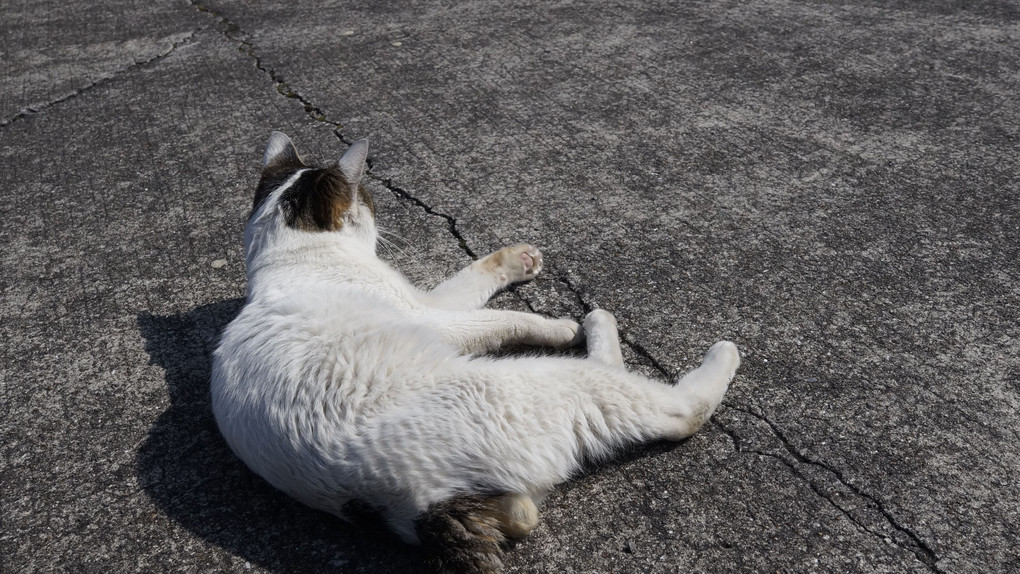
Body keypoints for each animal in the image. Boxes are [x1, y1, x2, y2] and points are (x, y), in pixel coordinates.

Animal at [213, 131, 742, 574]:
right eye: (368, 199)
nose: (380, 220)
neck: (290, 256)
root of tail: (421, 510)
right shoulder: (433, 319)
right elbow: (503, 318)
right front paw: (556, 324)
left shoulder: (434, 303)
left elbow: (473, 275)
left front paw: (517, 259)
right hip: (548, 383)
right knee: (675, 409)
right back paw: (629, 332)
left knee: (524, 513)